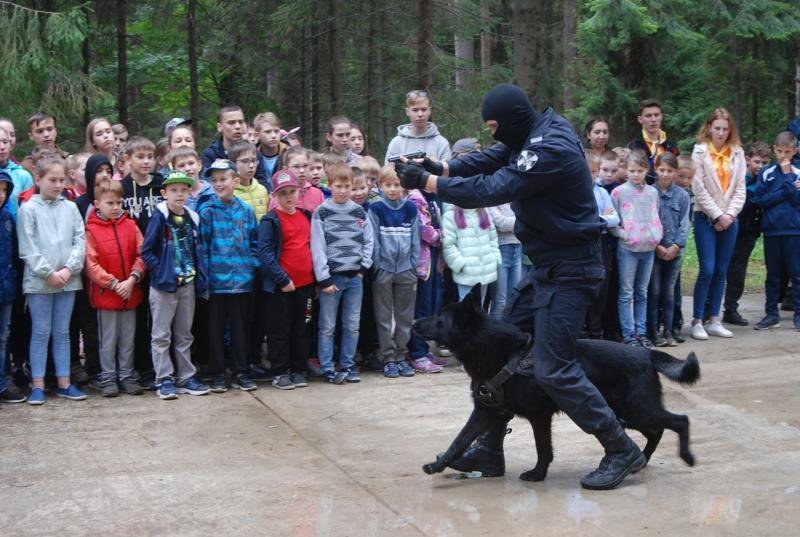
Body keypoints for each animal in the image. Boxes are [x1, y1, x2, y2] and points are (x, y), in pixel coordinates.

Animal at [412, 284, 700, 482]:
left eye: (438, 319)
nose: (414, 322)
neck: (498, 351)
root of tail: (646, 354)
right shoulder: (488, 410)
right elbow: (459, 440)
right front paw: (439, 465)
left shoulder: (538, 416)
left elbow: (543, 449)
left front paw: (538, 474)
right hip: (627, 413)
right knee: (656, 431)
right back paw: (640, 460)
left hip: (637, 409)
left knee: (680, 421)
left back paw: (684, 456)